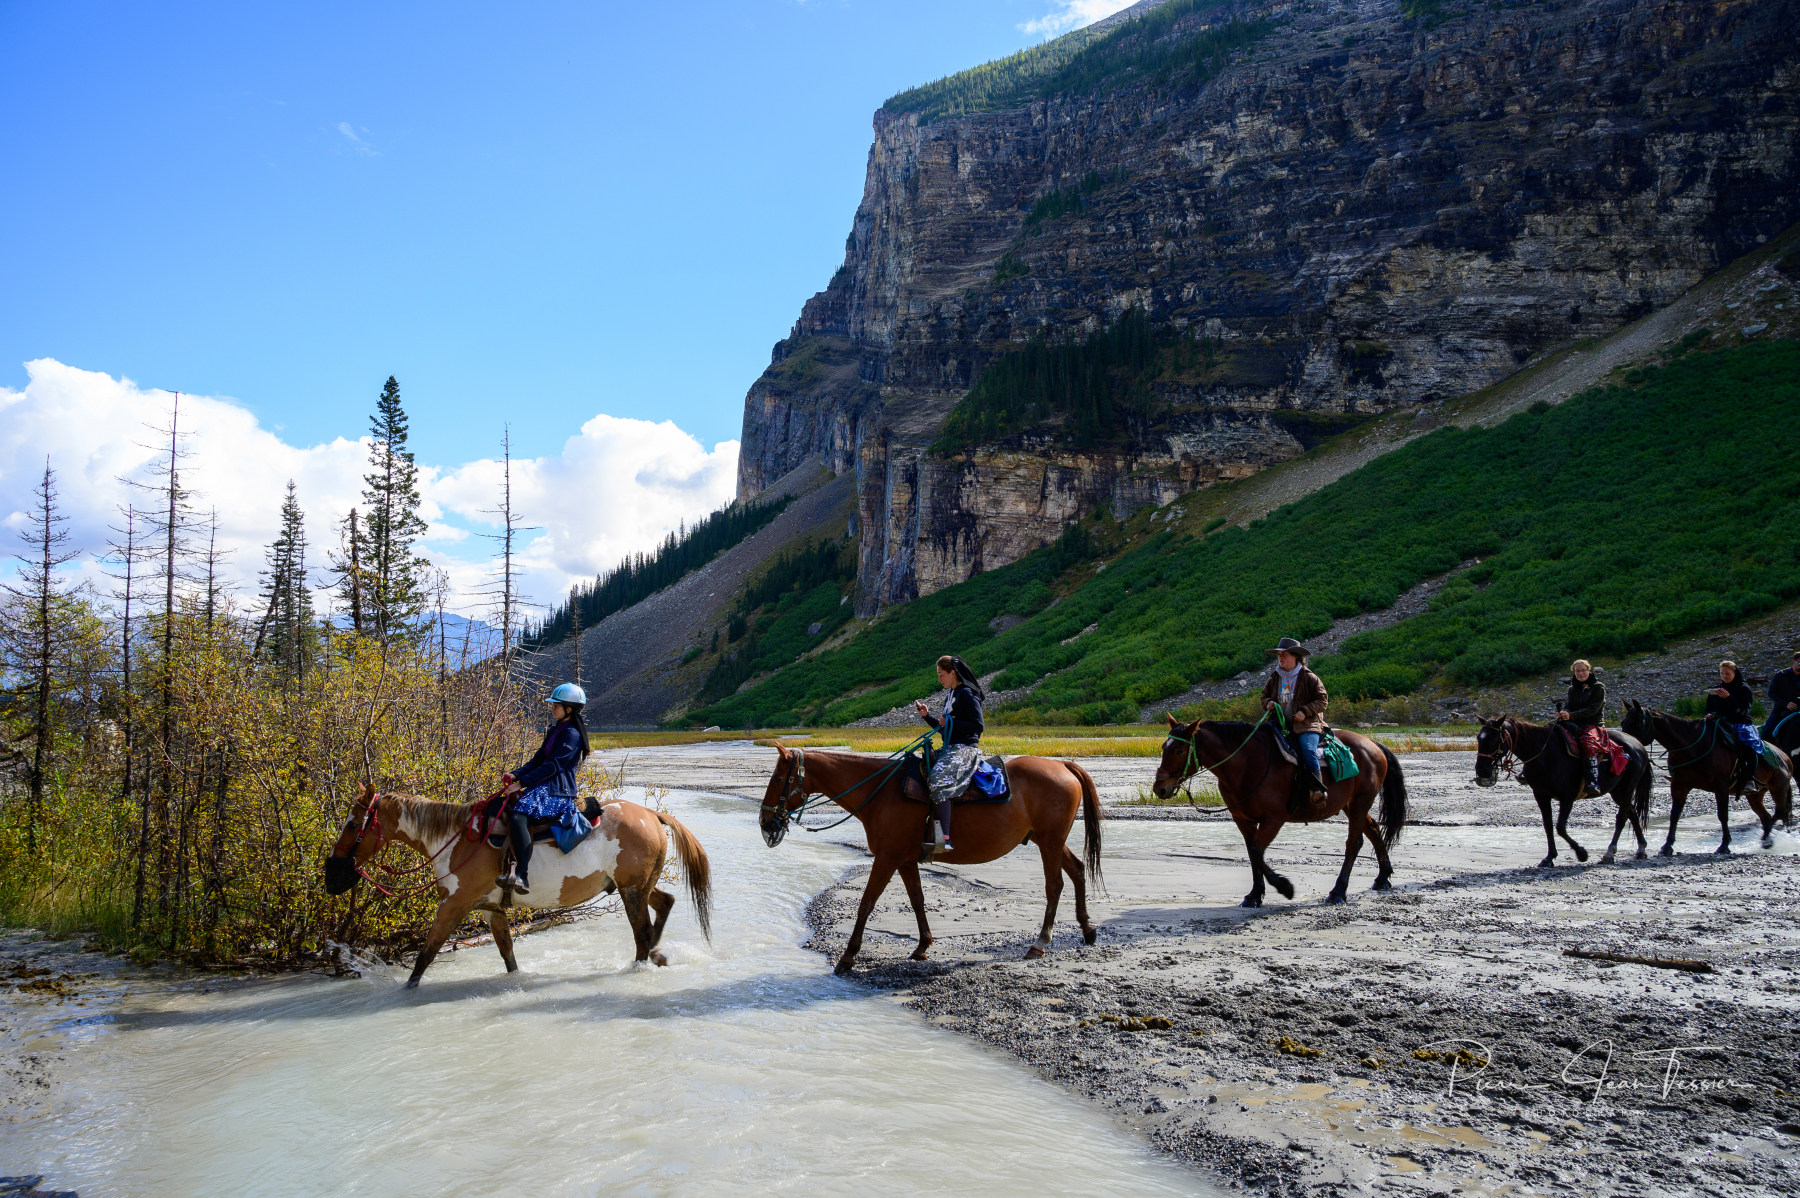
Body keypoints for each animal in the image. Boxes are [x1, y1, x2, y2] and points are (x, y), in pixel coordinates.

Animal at [324, 783, 712, 987]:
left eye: (352, 824)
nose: (332, 876)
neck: (456, 839)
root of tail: (651, 816)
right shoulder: (490, 910)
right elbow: (507, 954)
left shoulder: (453, 906)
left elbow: (426, 954)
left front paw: (408, 989)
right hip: (637, 886)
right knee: (664, 903)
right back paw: (658, 955)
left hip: (631, 891)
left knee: (641, 933)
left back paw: (642, 964)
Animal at [759, 746, 1102, 974]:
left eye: (777, 779)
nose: (765, 822)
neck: (879, 792)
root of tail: (1063, 766)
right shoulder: (905, 860)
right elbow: (917, 899)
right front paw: (923, 946)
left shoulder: (887, 857)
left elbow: (867, 902)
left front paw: (848, 957)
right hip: (1049, 841)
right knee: (1077, 871)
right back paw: (1087, 930)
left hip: (1050, 842)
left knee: (1055, 885)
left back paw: (1040, 942)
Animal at [1151, 714, 1407, 907]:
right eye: (1164, 747)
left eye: (1179, 751)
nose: (1160, 788)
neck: (1247, 764)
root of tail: (1373, 745)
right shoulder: (1243, 819)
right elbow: (1253, 853)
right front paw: (1254, 896)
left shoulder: (1274, 818)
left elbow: (1256, 851)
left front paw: (1286, 888)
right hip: (1350, 804)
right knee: (1373, 830)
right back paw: (1383, 878)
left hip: (1361, 801)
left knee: (1354, 842)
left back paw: (1338, 892)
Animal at [1472, 716, 1653, 867]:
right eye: (1479, 738)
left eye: (1493, 738)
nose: (1481, 770)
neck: (1545, 755)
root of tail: (1638, 745)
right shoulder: (1541, 795)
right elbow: (1548, 825)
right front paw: (1549, 857)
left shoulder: (1568, 797)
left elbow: (1560, 827)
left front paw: (1581, 853)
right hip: (1617, 791)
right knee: (1632, 812)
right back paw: (1641, 849)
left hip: (1627, 787)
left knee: (1622, 817)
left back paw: (1609, 853)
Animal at [1621, 701, 1793, 854]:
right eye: (1623, 723)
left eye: (1636, 724)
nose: (1626, 745)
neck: (1692, 747)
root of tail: (1785, 757)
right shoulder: (1679, 785)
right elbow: (1674, 814)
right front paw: (1667, 846)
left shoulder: (1721, 787)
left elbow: (1723, 815)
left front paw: (1724, 846)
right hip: (1756, 796)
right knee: (1766, 817)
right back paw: (1767, 839)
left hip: (1778, 789)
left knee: (1779, 811)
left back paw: (1766, 840)